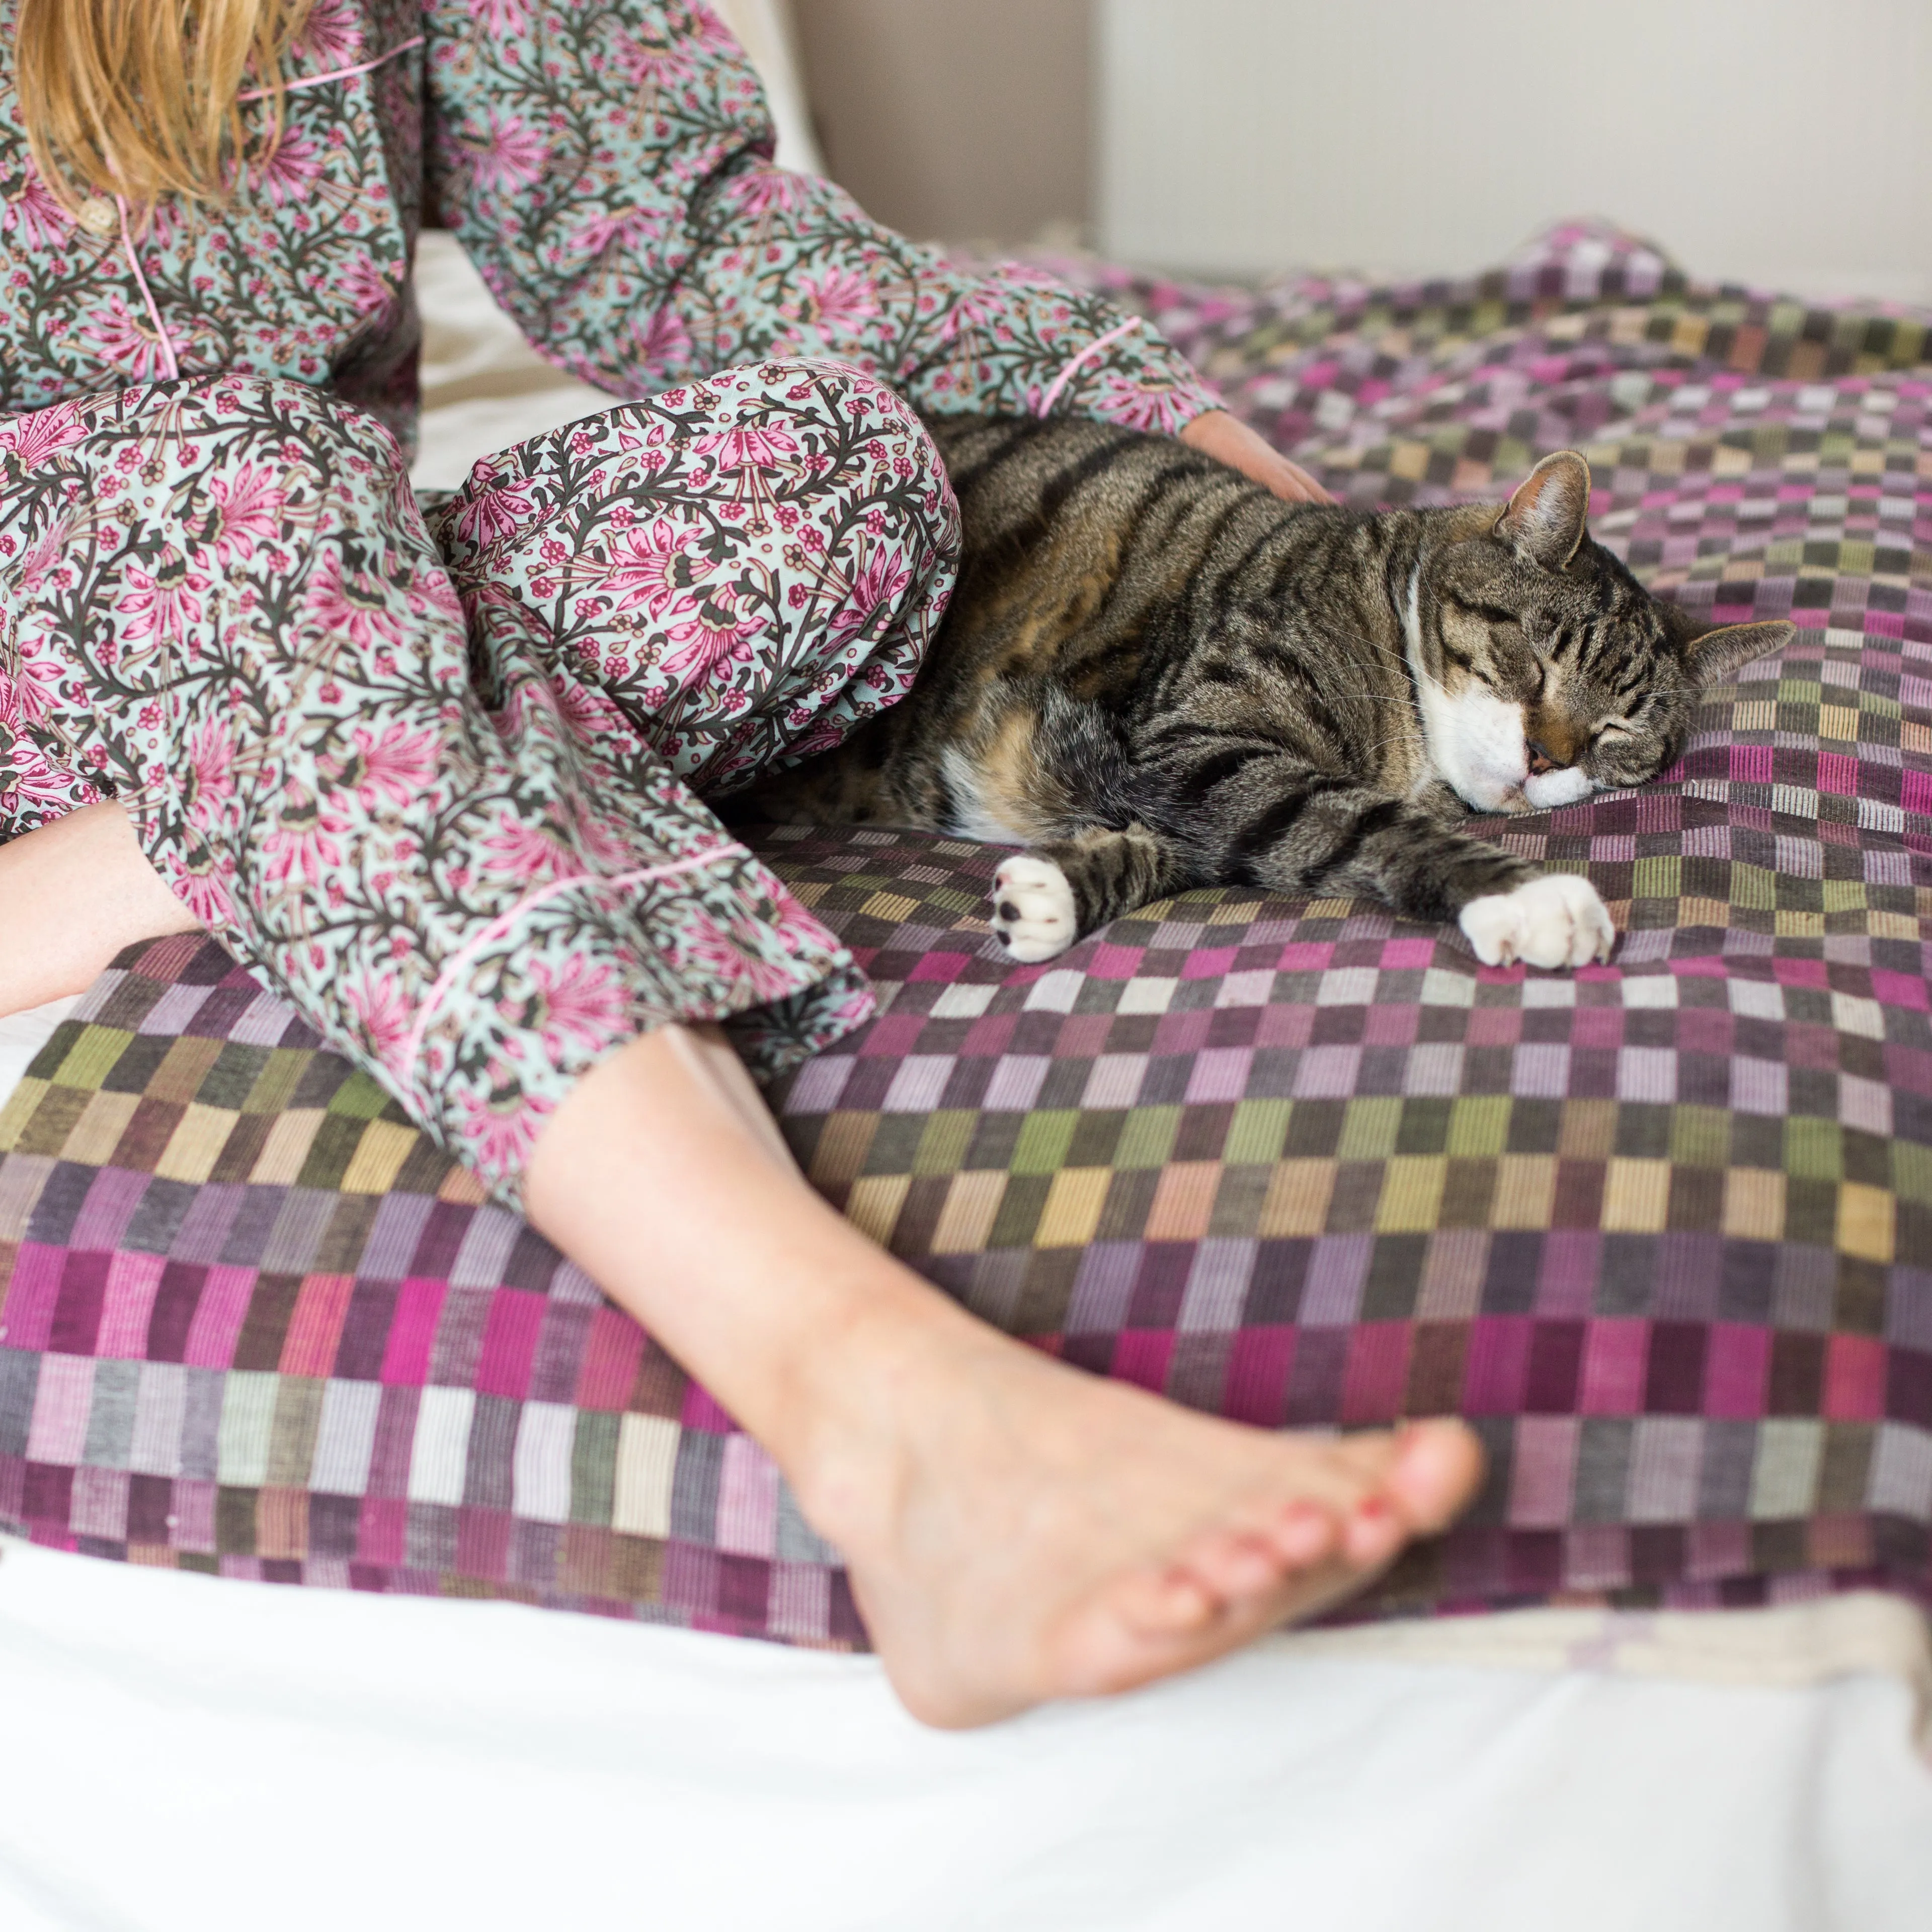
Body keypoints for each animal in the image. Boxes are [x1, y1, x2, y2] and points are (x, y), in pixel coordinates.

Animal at [746, 417, 1785, 974]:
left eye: (1617, 733)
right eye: (1534, 662)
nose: (1546, 759)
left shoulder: (1184, 778)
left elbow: (1202, 848)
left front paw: (1058, 893)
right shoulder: (1197, 737)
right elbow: (1359, 823)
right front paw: (1531, 897)